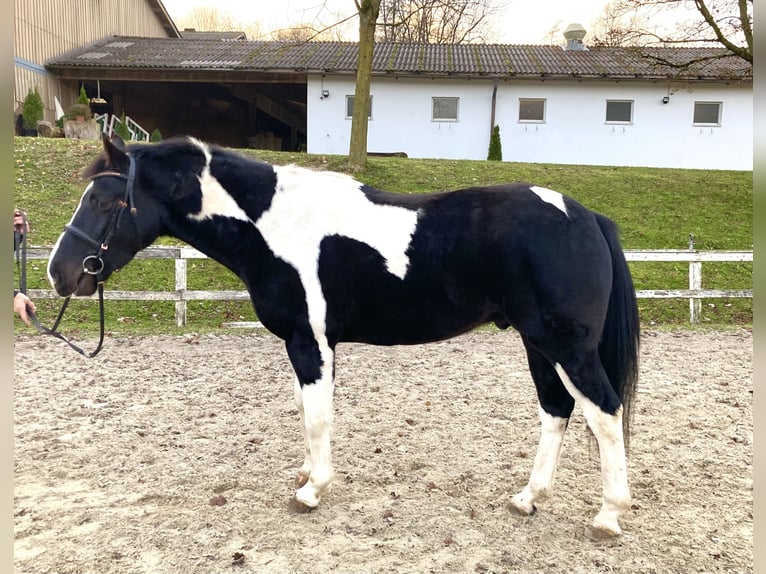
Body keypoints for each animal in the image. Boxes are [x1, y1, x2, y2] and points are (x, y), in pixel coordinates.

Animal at [45, 135, 640, 540]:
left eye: (102, 201)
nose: (59, 273)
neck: (274, 225)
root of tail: (586, 215)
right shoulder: (304, 344)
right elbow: (305, 412)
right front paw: (308, 475)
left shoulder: (310, 342)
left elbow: (316, 417)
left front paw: (312, 491)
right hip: (537, 344)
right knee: (557, 411)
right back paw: (527, 499)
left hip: (566, 347)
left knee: (604, 412)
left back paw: (609, 516)